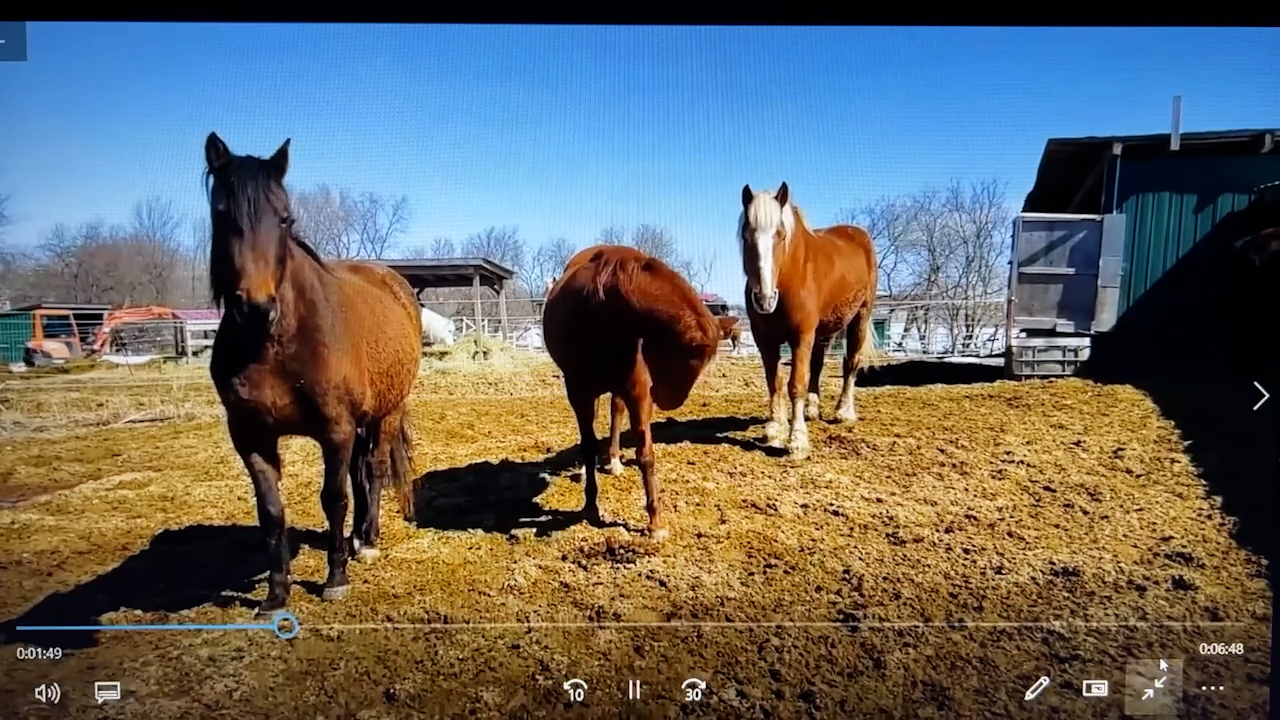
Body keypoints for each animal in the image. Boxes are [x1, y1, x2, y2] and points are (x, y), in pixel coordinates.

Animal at [199, 130, 419, 609]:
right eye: (221, 216)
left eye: (285, 219)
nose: (256, 308)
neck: (275, 345)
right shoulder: (250, 436)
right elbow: (271, 512)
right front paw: (276, 593)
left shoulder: (334, 429)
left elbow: (332, 497)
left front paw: (335, 579)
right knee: (360, 471)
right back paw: (355, 538)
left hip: (388, 412)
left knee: (374, 469)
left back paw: (367, 540)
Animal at [540, 243, 721, 535]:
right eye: (691, 360)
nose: (668, 400)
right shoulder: (578, 391)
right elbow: (588, 446)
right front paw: (590, 506)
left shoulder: (637, 390)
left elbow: (645, 452)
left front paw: (655, 522)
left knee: (616, 411)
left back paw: (614, 459)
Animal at [737, 181, 875, 456]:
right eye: (746, 236)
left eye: (780, 235)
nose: (765, 299)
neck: (790, 277)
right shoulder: (763, 338)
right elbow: (775, 381)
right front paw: (775, 428)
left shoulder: (801, 335)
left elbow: (796, 384)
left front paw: (797, 440)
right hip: (824, 330)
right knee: (818, 364)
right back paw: (813, 409)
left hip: (860, 318)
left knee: (850, 363)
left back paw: (844, 412)